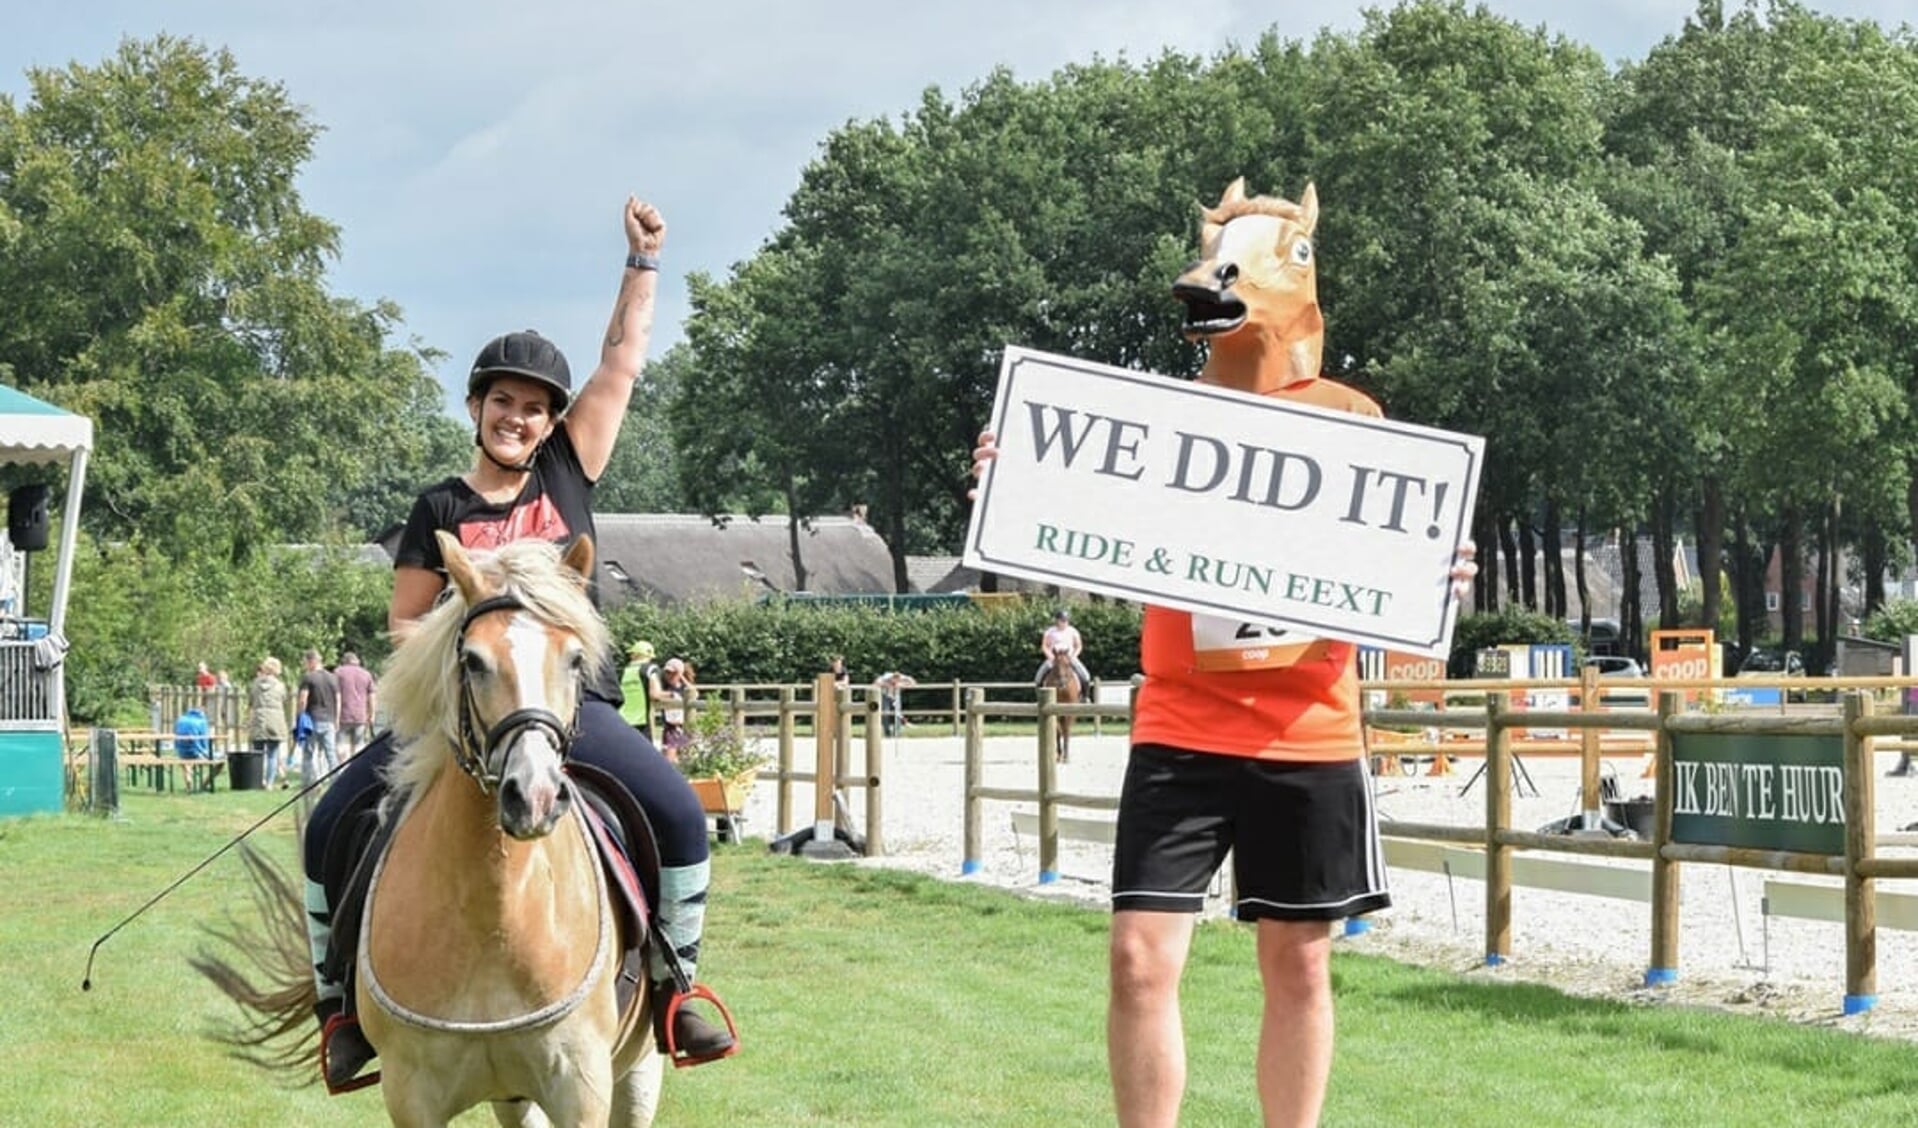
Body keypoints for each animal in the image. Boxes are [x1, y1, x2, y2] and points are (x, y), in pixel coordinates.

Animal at [194, 533, 659, 1120]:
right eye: (473, 661)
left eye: (576, 660)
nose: (533, 796)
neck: (495, 915)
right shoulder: (411, 1093)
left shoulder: (581, 1086)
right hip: (513, 1095)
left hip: (637, 1069)